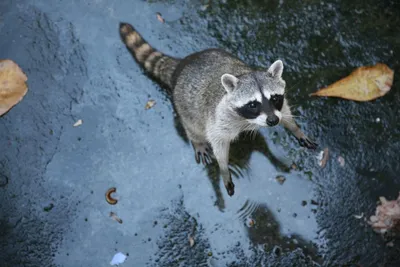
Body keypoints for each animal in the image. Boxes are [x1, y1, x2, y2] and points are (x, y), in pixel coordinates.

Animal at [119, 23, 318, 197]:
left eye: (274, 98)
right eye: (253, 104)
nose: (272, 121)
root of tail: (183, 64)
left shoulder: (277, 107)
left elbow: (285, 112)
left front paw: (295, 129)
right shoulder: (219, 117)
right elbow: (218, 142)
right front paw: (224, 168)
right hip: (184, 105)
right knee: (192, 125)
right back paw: (196, 139)